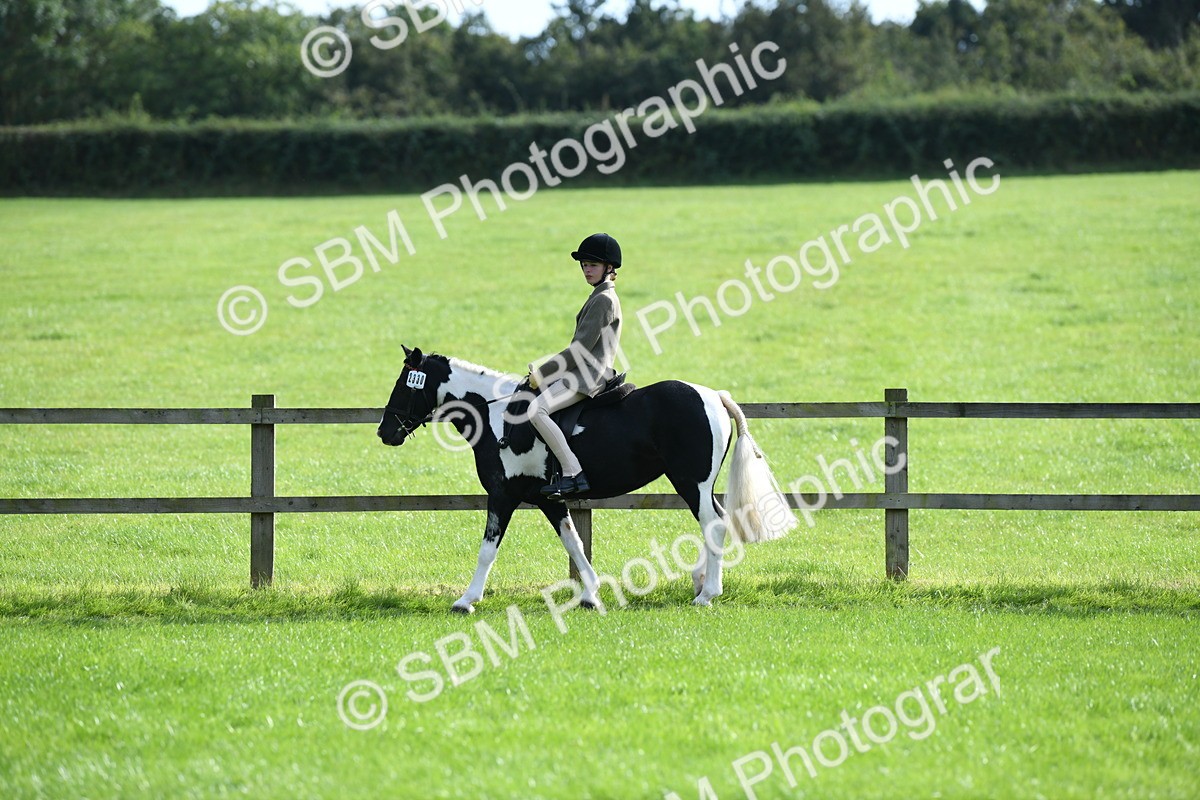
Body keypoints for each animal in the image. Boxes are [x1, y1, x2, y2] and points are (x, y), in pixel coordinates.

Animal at [376, 345, 797, 612]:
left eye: (404, 385)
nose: (384, 432)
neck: (495, 416)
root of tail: (713, 395)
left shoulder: (503, 495)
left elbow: (487, 549)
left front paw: (466, 601)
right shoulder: (548, 499)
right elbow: (574, 543)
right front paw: (591, 596)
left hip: (691, 480)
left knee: (712, 524)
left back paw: (706, 593)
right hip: (695, 484)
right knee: (718, 521)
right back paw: (701, 582)